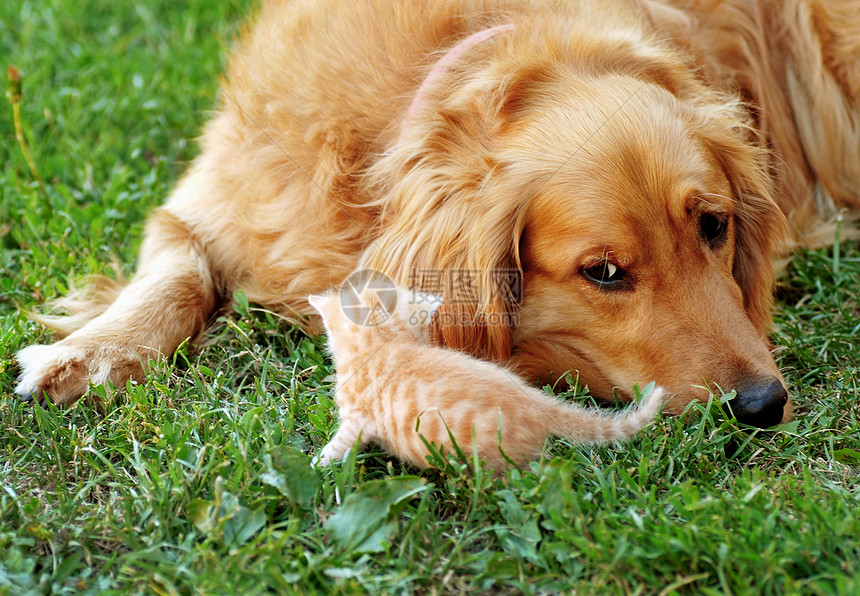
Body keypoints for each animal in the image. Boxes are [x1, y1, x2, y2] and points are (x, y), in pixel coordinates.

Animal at [15, 0, 860, 428]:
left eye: (714, 226)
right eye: (604, 273)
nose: (763, 405)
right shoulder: (217, 195)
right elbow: (181, 270)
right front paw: (92, 352)